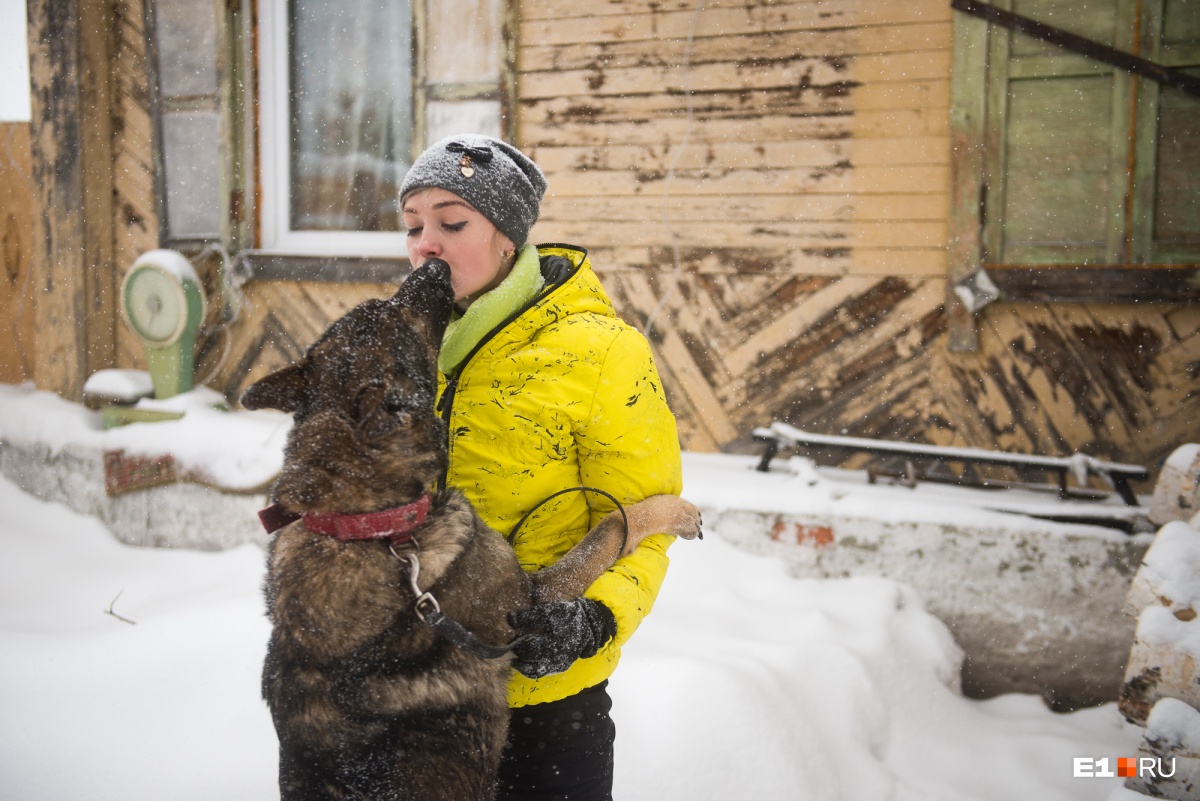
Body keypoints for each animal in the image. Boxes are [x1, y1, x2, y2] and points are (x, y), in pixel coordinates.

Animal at [238, 260, 700, 796]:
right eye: (391, 310)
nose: (434, 264)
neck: (365, 524)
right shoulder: (530, 600)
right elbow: (610, 527)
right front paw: (677, 511)